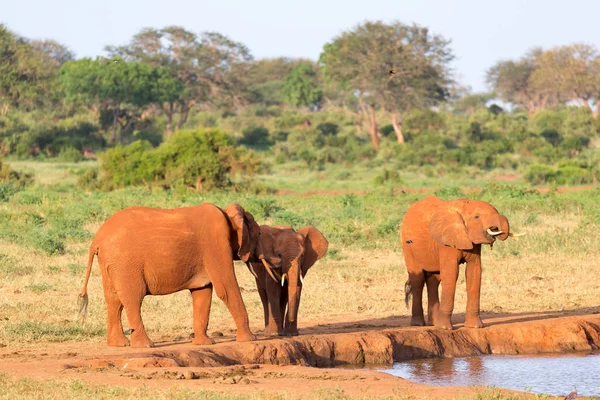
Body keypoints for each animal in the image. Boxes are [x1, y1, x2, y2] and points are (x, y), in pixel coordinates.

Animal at [78, 203, 262, 346]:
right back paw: (146, 345)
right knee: (133, 298)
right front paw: (250, 339)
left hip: (111, 263)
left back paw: (119, 344)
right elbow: (226, 288)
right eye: (259, 234)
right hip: (125, 263)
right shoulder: (216, 244)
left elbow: (202, 293)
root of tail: (96, 240)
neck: (226, 214)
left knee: (114, 300)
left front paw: (204, 343)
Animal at [400, 197, 524, 332]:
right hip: (407, 245)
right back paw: (418, 324)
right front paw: (445, 328)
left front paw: (475, 327)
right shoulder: (446, 242)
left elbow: (474, 271)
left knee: (434, 279)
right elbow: (452, 273)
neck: (464, 206)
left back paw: (434, 323)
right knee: (418, 280)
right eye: (476, 217)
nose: (496, 229)